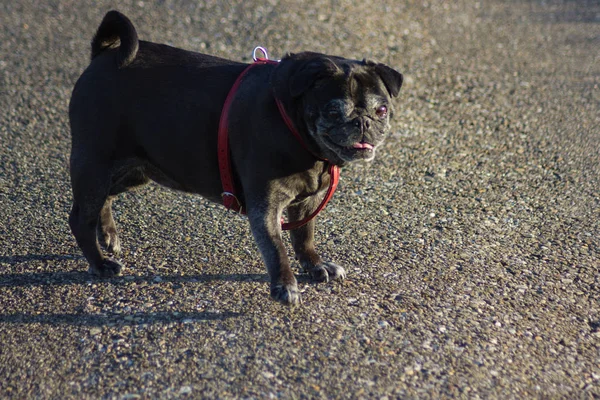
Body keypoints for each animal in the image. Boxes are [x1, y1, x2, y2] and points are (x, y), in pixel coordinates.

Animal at [69, 9, 404, 304]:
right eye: (333, 111)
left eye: (381, 110)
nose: (363, 122)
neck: (292, 124)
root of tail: (103, 55)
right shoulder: (265, 208)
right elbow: (277, 249)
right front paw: (285, 285)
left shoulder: (307, 203)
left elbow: (303, 237)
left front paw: (314, 265)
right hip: (95, 166)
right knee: (80, 219)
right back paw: (99, 263)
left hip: (134, 171)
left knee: (105, 200)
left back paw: (108, 235)